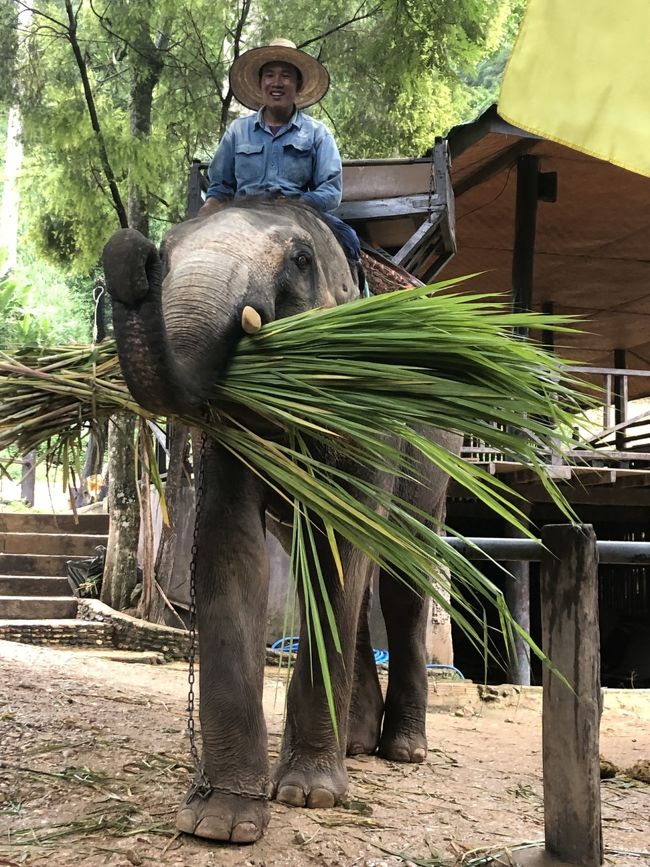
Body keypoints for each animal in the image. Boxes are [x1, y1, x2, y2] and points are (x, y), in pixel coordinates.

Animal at [101, 200, 458, 844]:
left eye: (300, 259)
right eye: (168, 248)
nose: (133, 254)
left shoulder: (371, 414)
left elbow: (342, 541)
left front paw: (308, 797)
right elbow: (232, 547)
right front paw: (220, 822)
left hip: (437, 463)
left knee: (401, 578)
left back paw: (403, 751)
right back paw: (357, 743)